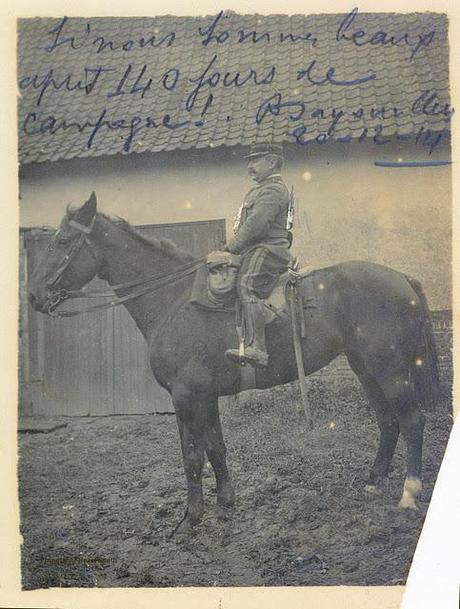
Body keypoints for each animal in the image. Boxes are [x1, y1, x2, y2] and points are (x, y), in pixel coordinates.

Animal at [27, 196, 438, 528]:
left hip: (390, 371)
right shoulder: (205, 396)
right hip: (365, 369)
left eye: (62, 241)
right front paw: (226, 502)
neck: (174, 300)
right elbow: (216, 448)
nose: (33, 295)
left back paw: (408, 493)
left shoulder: (185, 396)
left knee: (411, 421)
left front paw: (193, 516)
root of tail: (403, 278)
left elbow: (192, 455)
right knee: (388, 422)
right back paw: (373, 481)